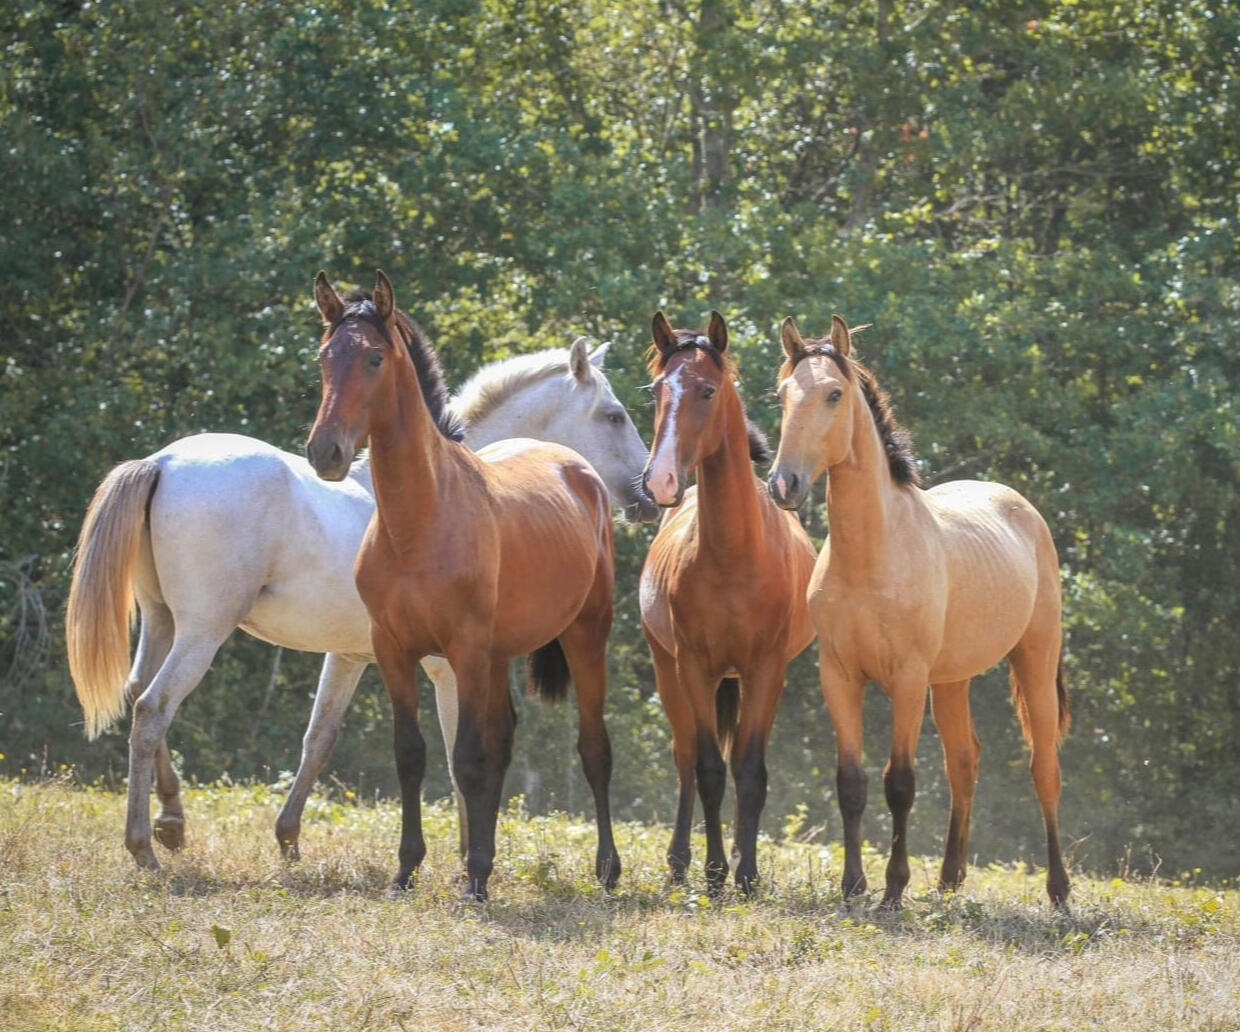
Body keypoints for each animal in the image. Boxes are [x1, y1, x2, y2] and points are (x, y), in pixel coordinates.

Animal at [66, 323, 654, 875]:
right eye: (615, 416)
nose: (648, 494)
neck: (447, 486)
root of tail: (163, 463)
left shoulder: (348, 657)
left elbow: (319, 738)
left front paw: (288, 838)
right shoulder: (444, 666)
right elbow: (453, 750)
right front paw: (468, 853)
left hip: (162, 621)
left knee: (137, 691)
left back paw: (171, 820)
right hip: (203, 631)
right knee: (153, 707)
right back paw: (144, 845)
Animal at [305, 270, 619, 899]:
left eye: (374, 358)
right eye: (325, 357)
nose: (325, 451)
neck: (420, 521)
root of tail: (575, 466)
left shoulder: (462, 651)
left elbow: (467, 757)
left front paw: (472, 878)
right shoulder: (393, 650)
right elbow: (414, 754)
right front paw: (409, 870)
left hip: (584, 635)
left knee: (594, 747)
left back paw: (606, 869)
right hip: (497, 656)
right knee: (502, 741)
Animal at [638, 311, 816, 894]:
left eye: (708, 390)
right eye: (657, 390)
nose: (660, 481)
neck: (735, 554)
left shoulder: (765, 670)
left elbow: (750, 770)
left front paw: (747, 873)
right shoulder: (694, 666)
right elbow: (710, 770)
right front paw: (715, 875)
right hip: (668, 667)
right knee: (685, 757)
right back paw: (680, 863)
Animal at [766, 315, 1070, 908]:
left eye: (834, 394)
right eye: (783, 393)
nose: (783, 484)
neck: (872, 557)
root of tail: (1020, 507)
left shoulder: (906, 680)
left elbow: (899, 783)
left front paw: (892, 889)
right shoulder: (840, 676)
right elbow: (851, 782)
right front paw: (853, 886)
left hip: (1035, 660)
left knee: (1043, 766)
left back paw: (1060, 890)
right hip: (951, 681)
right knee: (964, 762)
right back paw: (950, 881)